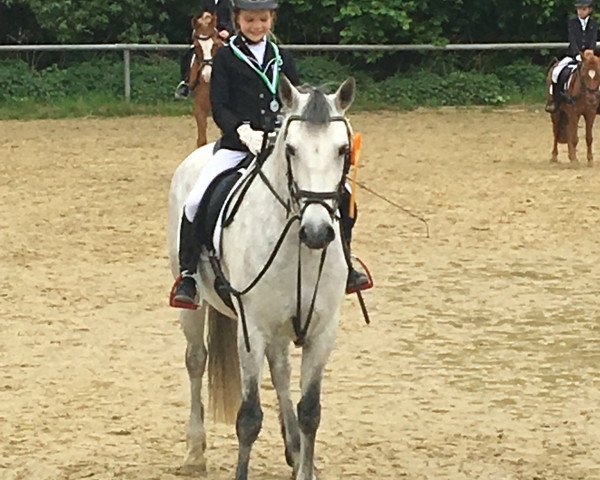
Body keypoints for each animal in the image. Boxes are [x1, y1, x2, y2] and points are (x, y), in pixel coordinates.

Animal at [166, 75, 356, 480]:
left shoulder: (322, 329)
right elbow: (249, 418)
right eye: (292, 149)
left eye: (343, 150)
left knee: (280, 368)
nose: (318, 232)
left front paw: (305, 466)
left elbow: (310, 412)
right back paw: (194, 452)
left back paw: (293, 448)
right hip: (194, 304)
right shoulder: (251, 328)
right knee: (196, 359)